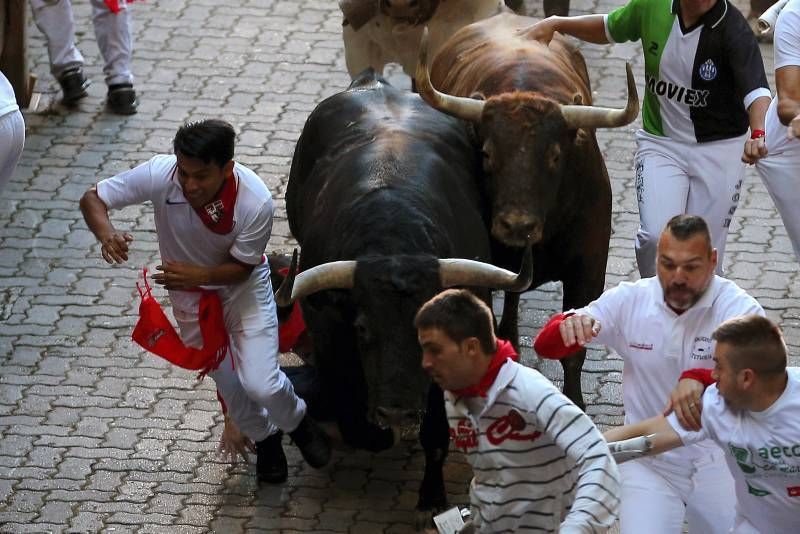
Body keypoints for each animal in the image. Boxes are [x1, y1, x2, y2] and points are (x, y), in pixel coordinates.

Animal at [282, 69, 532, 512]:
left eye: (426, 335)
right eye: (362, 328)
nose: (397, 411)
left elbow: (436, 431)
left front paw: (432, 493)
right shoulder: (328, 335)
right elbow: (349, 409)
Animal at [416, 12, 640, 408]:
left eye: (554, 156)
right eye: (487, 153)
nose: (516, 225)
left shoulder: (589, 270)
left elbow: (573, 348)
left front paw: (576, 401)